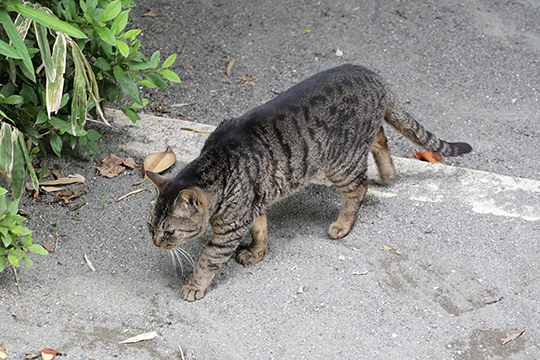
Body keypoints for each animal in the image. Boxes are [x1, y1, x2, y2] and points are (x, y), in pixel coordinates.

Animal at [147, 64, 472, 300]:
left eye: (169, 232)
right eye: (151, 227)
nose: (155, 243)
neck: (217, 164)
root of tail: (375, 76)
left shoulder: (231, 226)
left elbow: (209, 259)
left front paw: (195, 285)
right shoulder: (255, 205)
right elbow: (261, 231)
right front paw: (257, 253)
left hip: (342, 164)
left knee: (359, 189)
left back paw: (343, 223)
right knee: (381, 138)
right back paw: (389, 174)